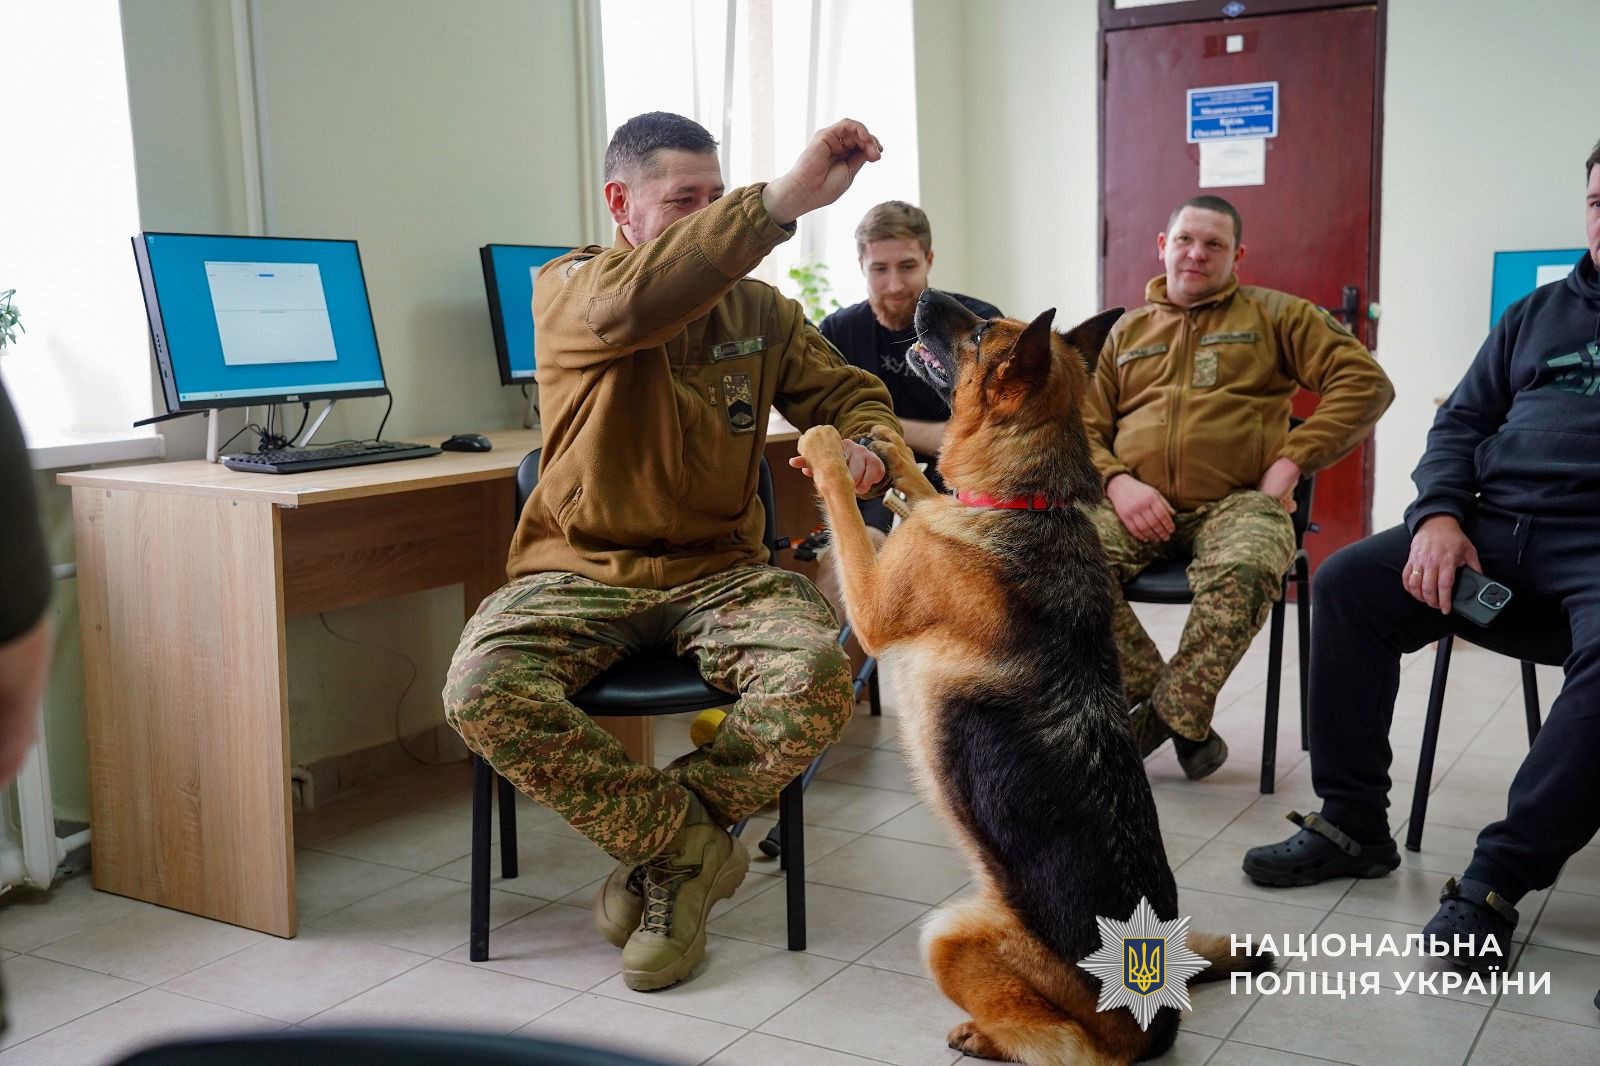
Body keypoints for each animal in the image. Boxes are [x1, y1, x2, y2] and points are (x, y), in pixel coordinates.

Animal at [794, 290, 1272, 1064]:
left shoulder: (871, 611)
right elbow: (929, 490)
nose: (922, 297)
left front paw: (826, 448)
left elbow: (855, 512)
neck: (1026, 502)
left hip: (950, 935)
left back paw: (983, 1035)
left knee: (1056, 1043)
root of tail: (1156, 1022)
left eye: (982, 330)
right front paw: (895, 457)